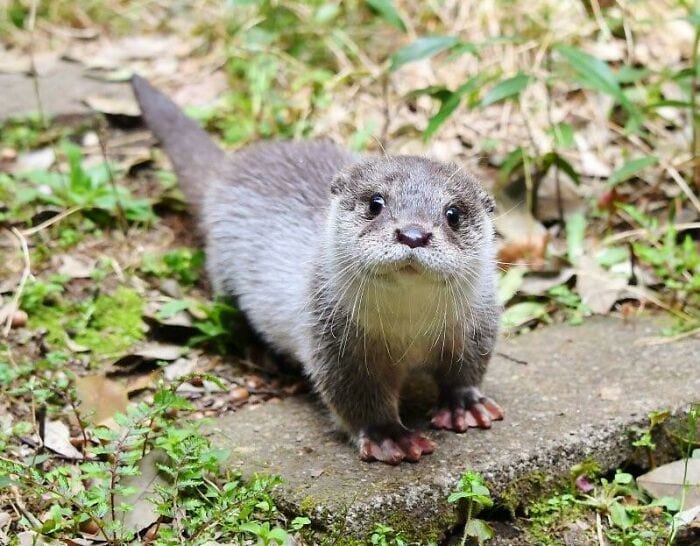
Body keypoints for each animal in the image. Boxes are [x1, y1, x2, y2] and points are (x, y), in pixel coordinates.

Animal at [132, 76, 503, 465]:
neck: (409, 332)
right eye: (375, 203)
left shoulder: (477, 326)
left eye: (453, 213)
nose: (413, 234)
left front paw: (464, 404)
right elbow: (355, 396)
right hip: (223, 275)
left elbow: (468, 368)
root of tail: (227, 171)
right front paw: (388, 436)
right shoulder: (333, 345)